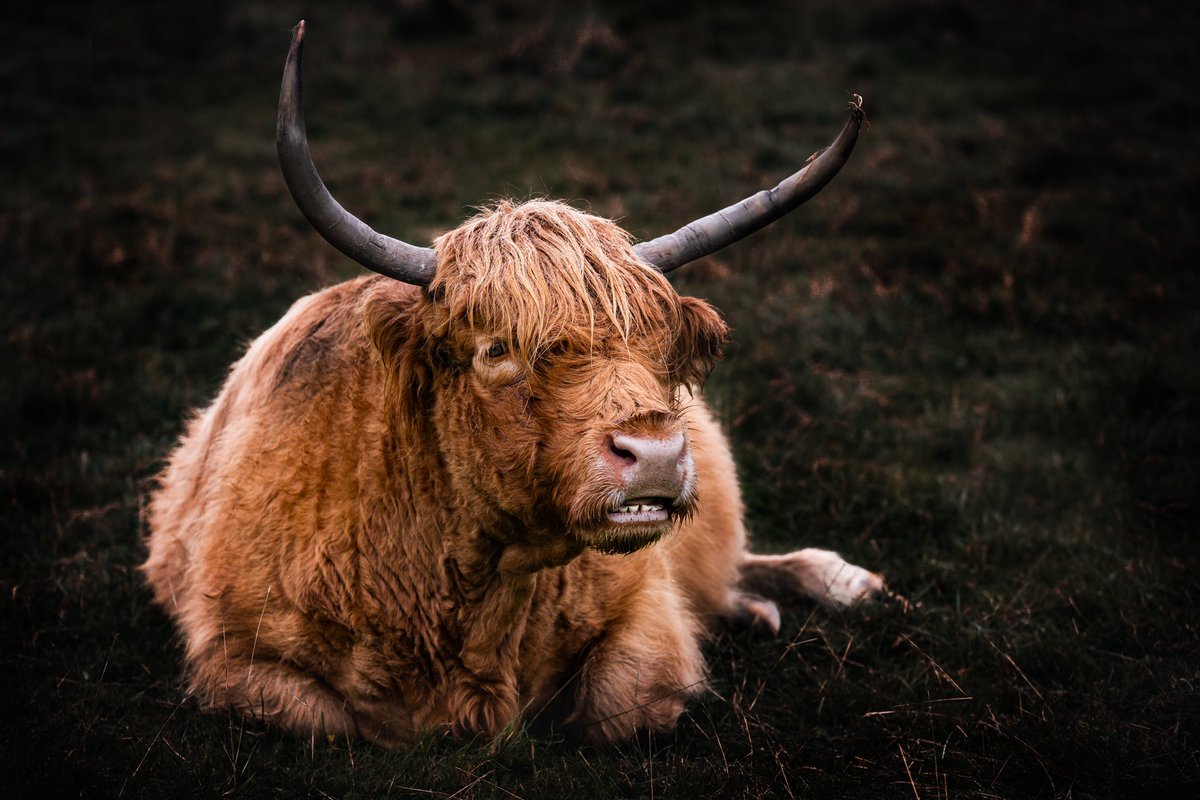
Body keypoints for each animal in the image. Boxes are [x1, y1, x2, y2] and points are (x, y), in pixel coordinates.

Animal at [141, 21, 885, 746]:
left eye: (661, 350)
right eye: (497, 349)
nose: (656, 454)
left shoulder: (648, 610)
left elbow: (620, 702)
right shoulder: (230, 658)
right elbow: (328, 721)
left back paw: (839, 582)